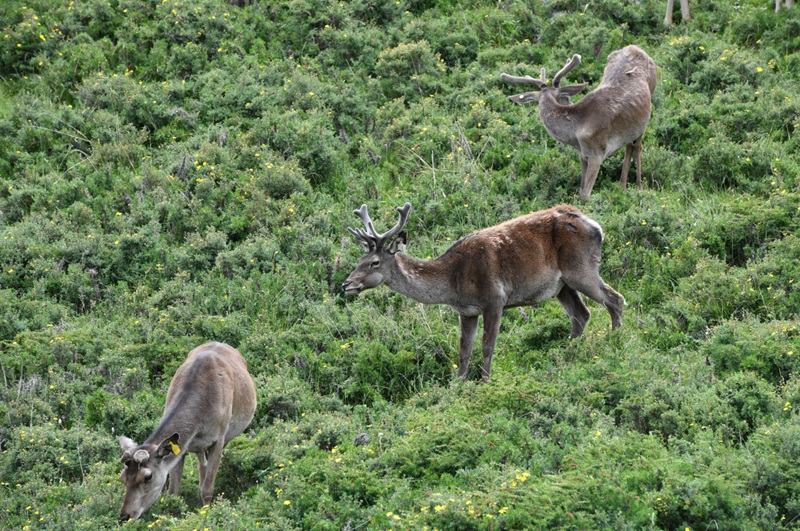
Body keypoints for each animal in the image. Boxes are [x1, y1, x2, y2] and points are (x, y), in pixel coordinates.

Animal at [117, 342, 256, 520]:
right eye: (122, 477)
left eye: (148, 476)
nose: (124, 515)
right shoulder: (181, 448)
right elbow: (172, 491)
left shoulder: (219, 437)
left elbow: (207, 489)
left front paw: (205, 514)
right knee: (201, 463)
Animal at [340, 203, 620, 382]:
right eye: (359, 260)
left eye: (374, 263)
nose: (346, 284)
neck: (454, 282)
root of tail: (597, 227)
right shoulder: (467, 311)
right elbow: (464, 351)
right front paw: (458, 384)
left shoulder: (494, 299)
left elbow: (487, 346)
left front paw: (485, 381)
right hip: (562, 285)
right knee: (581, 315)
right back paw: (565, 353)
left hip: (580, 268)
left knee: (615, 299)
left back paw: (614, 343)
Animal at [500, 44, 656, 203]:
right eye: (565, 97)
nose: (569, 103)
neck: (577, 133)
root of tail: (635, 47)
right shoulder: (582, 154)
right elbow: (580, 188)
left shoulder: (598, 153)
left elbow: (585, 195)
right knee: (629, 145)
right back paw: (622, 187)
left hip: (650, 100)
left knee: (637, 147)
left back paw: (639, 188)